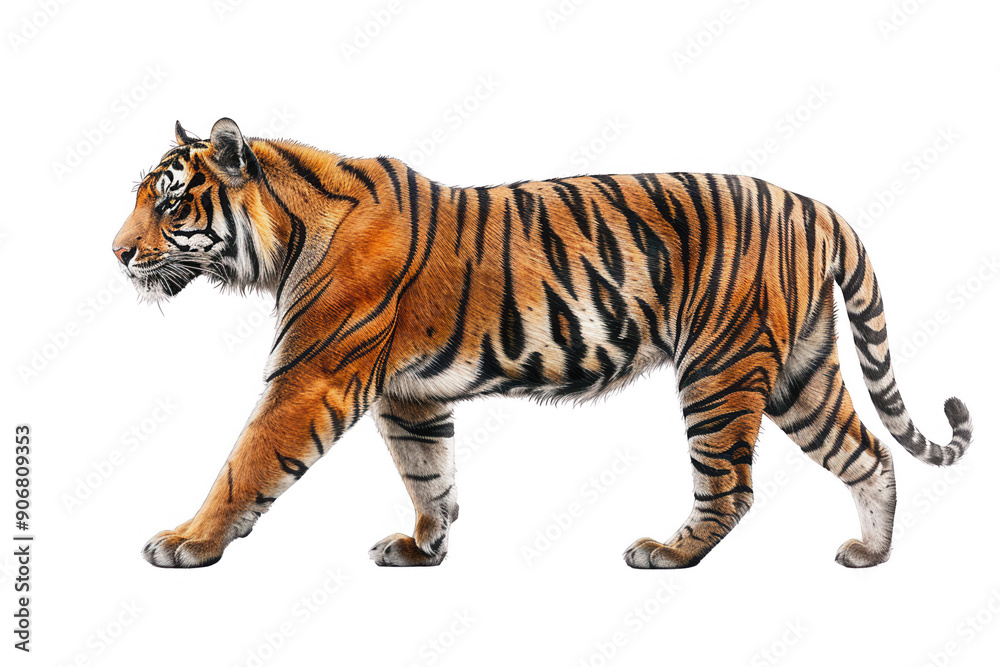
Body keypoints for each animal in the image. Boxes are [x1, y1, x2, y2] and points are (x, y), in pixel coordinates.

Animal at [112, 117, 973, 569]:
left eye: (172, 203)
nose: (117, 254)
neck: (285, 234)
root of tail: (813, 204)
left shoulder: (310, 378)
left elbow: (244, 464)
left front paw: (186, 541)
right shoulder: (408, 396)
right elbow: (429, 475)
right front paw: (425, 548)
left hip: (719, 369)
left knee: (731, 485)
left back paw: (668, 552)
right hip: (802, 371)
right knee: (869, 452)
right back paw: (869, 554)